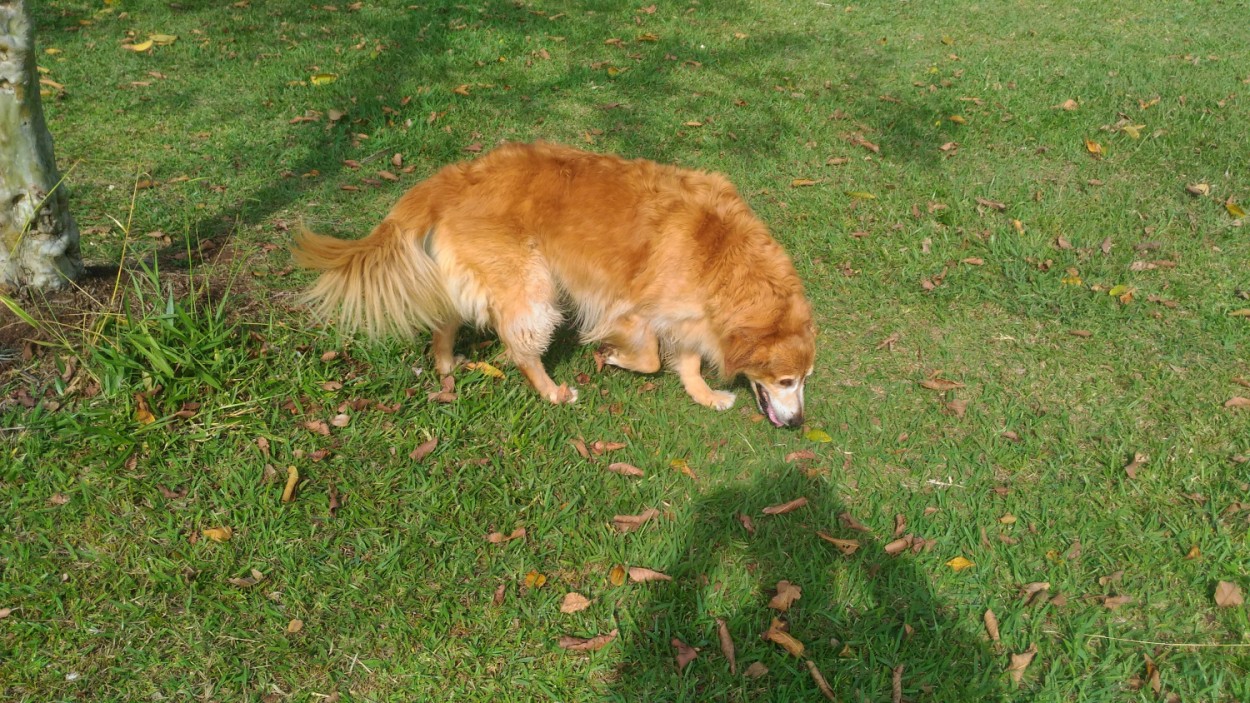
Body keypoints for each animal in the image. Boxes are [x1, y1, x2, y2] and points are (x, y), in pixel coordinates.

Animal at [296, 140, 815, 427]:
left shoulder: (685, 314)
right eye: (785, 381)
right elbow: (649, 358)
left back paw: (445, 366)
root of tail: (453, 179)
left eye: (804, 380)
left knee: (446, 322)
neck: (724, 255)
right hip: (532, 288)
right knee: (521, 350)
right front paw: (615, 358)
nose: (797, 424)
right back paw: (551, 391)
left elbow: (685, 362)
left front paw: (704, 395)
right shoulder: (632, 308)